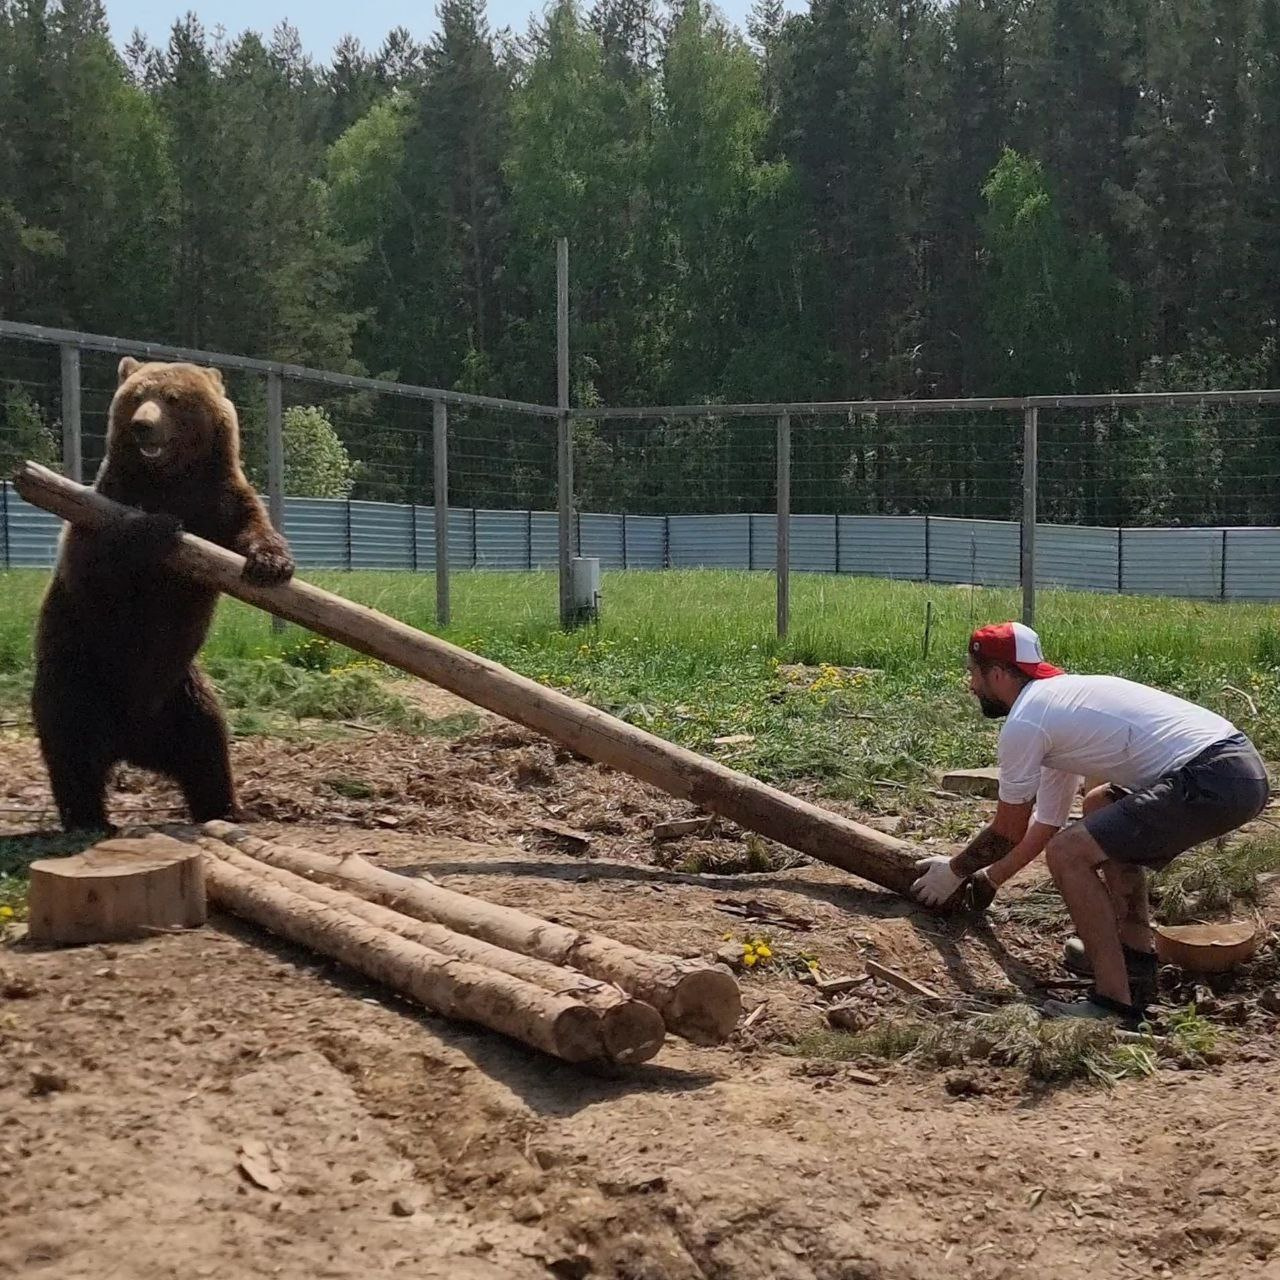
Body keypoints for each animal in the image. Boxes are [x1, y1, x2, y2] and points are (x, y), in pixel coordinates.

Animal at [31, 355, 295, 834]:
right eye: (137, 395)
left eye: (172, 398)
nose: (142, 426)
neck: (169, 481)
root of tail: (132, 742)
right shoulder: (103, 503)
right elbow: (94, 562)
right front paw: (158, 526)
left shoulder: (219, 497)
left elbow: (251, 524)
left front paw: (271, 563)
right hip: (78, 673)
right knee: (71, 746)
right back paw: (90, 819)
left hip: (181, 694)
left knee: (208, 744)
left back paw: (226, 807)